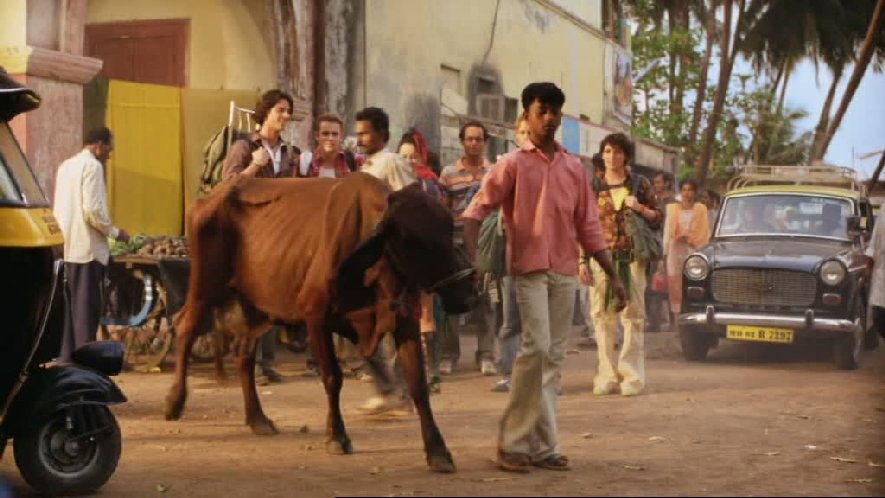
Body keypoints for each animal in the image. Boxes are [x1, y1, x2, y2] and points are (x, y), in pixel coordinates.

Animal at [164, 173, 476, 472]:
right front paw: (337, 435)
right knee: (185, 327)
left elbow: (418, 385)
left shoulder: (404, 321)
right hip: (205, 288)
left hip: (256, 308)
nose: (466, 294)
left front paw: (437, 451)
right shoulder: (315, 316)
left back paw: (258, 418)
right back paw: (175, 401)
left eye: (450, 229)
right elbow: (332, 378)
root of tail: (210, 198)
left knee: (244, 355)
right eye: (413, 240)